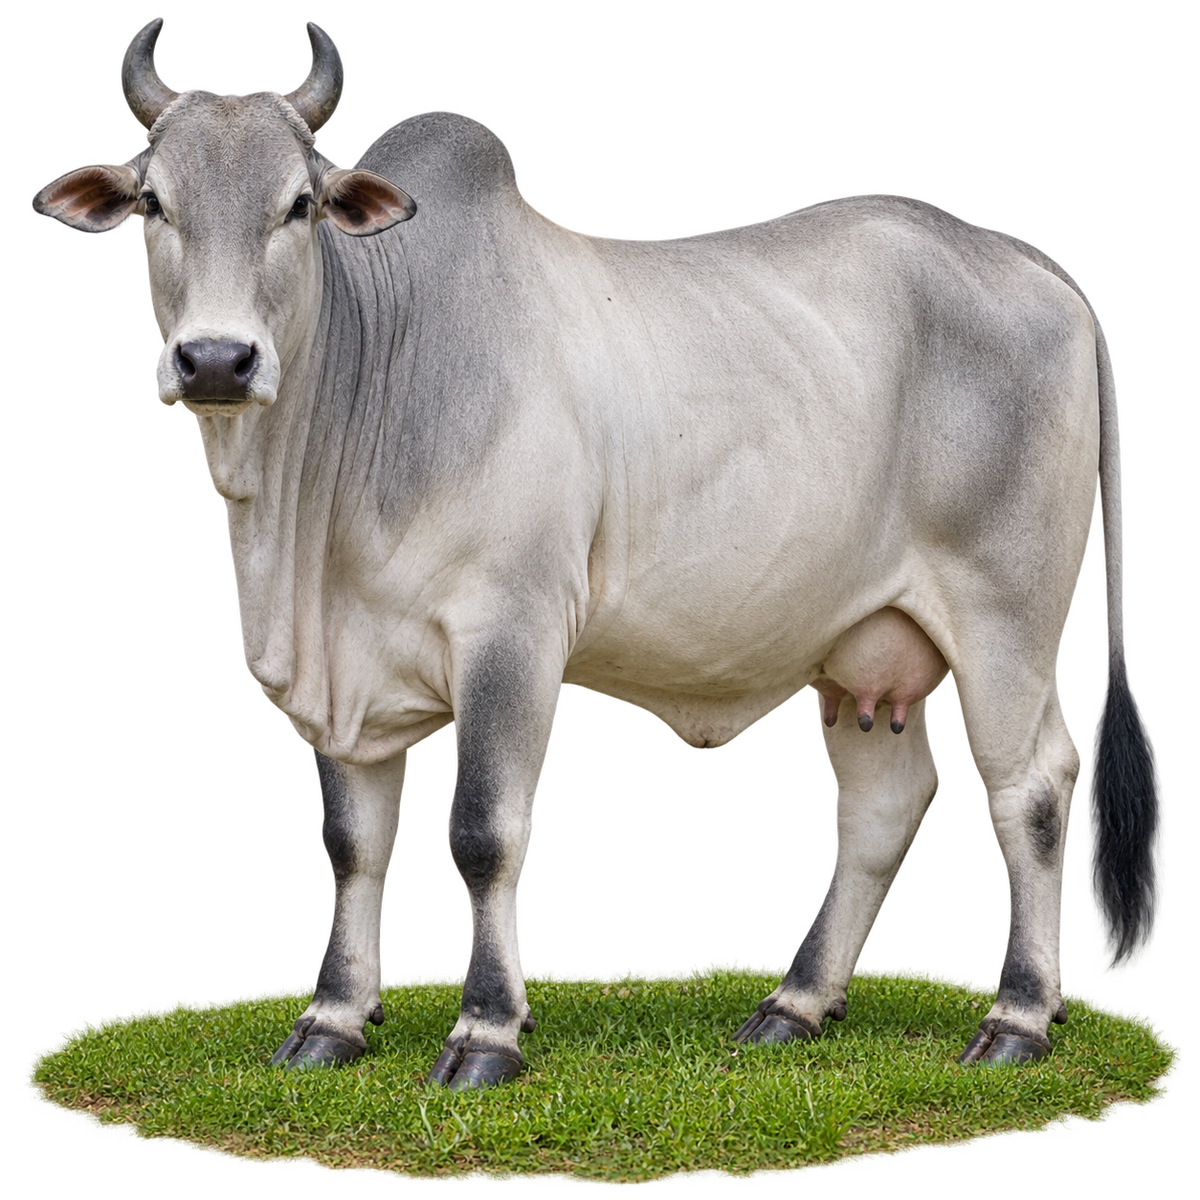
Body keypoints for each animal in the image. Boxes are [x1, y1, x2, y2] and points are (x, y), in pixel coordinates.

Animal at [32, 16, 1165, 1090]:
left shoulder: (513, 633)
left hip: (1006, 621)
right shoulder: (345, 672)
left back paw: (1018, 1019)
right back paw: (795, 1006)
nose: (217, 361)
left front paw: (487, 1033)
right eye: (154, 202)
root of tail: (1031, 261)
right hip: (860, 645)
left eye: (299, 205)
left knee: (1031, 790)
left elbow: (482, 832)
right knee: (884, 805)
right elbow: (352, 846)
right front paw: (332, 1021)